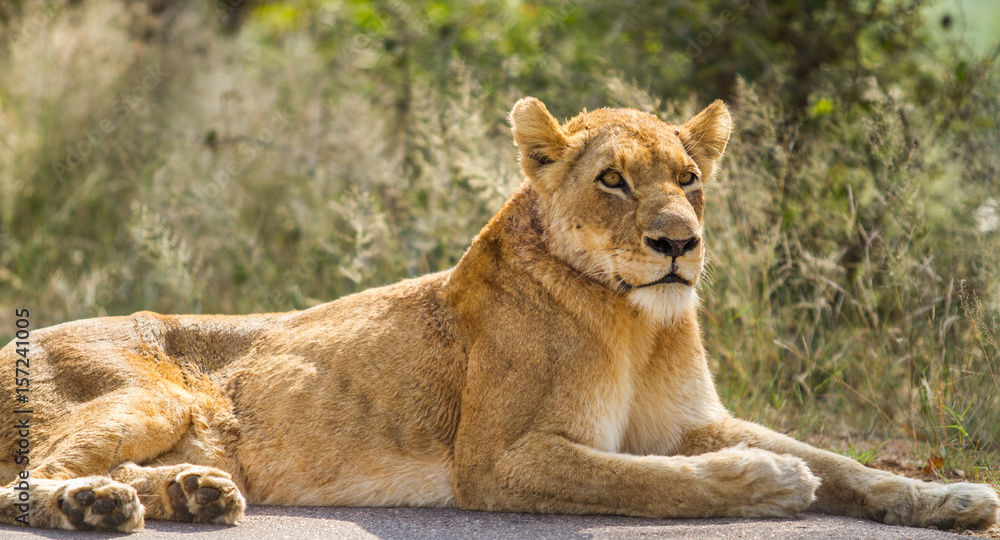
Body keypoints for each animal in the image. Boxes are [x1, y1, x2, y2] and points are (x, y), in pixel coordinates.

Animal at [1, 98, 998, 533]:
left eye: (689, 179)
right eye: (613, 180)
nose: (679, 244)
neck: (641, 322)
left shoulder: (690, 421)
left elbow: (840, 461)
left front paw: (949, 497)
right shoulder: (499, 460)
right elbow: (644, 483)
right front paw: (765, 484)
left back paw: (185, 494)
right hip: (150, 392)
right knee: (27, 475)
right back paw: (96, 503)